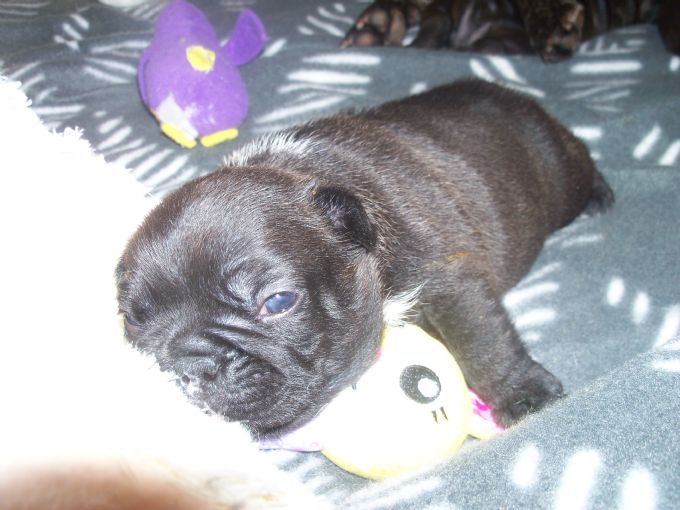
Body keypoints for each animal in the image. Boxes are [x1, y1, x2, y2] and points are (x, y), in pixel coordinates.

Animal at [116, 80, 614, 440]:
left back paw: (599, 195)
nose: (186, 365)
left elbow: (483, 343)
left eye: (276, 303)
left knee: (580, 162)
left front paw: (524, 396)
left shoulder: (449, 280)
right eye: (133, 322)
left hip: (558, 176)